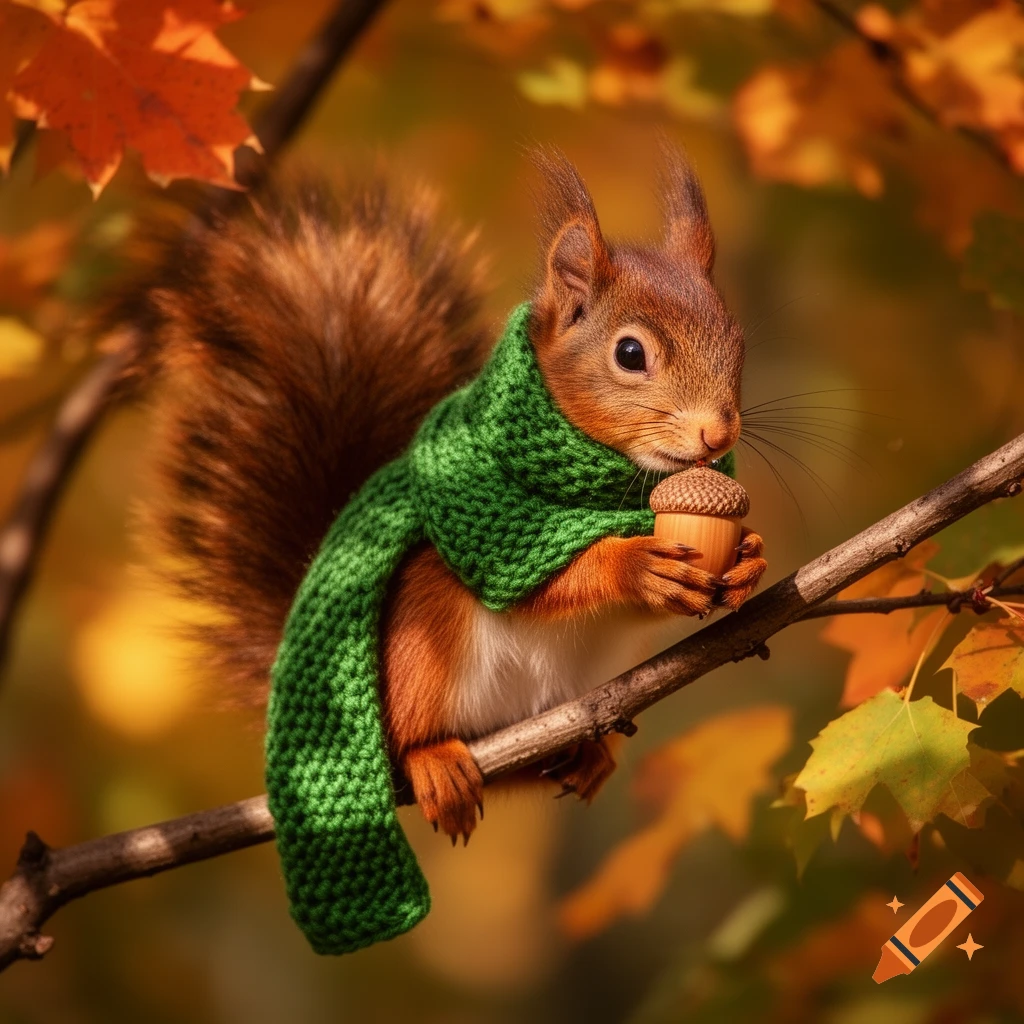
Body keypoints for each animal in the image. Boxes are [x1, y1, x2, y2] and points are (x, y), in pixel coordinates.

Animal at [134, 149, 767, 851]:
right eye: (630, 353)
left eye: (738, 342)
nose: (718, 433)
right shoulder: (488, 532)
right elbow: (536, 582)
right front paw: (634, 564)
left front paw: (749, 560)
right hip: (423, 641)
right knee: (411, 735)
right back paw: (432, 759)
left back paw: (587, 756)